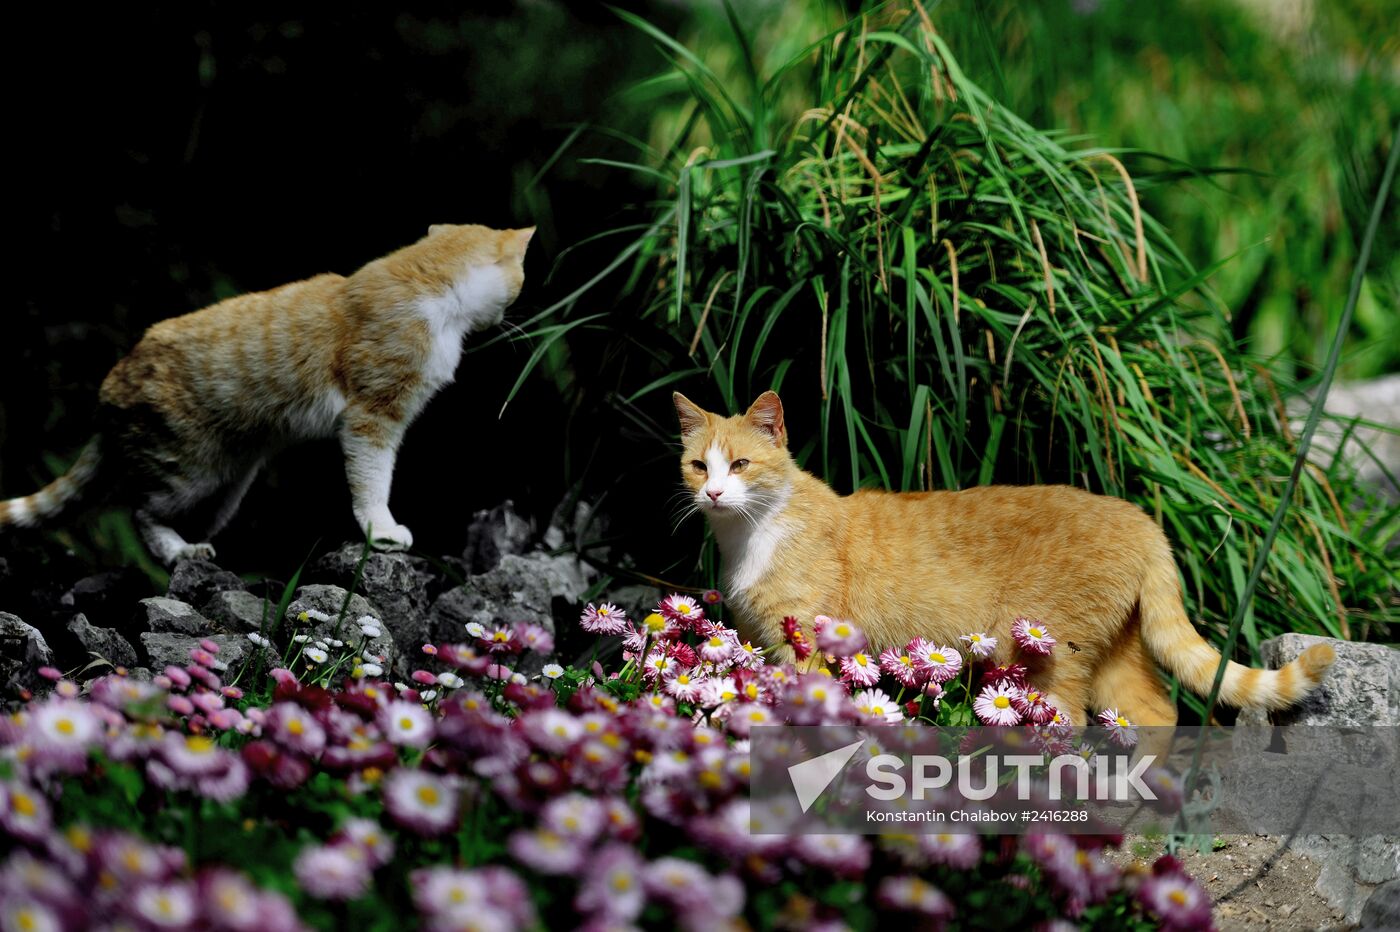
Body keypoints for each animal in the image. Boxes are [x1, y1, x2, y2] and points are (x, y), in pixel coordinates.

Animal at [0, 221, 532, 562]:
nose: (505, 318)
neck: (429, 283)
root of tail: (108, 391)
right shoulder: (371, 419)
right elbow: (372, 481)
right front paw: (381, 531)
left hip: (229, 486)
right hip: (189, 472)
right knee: (141, 512)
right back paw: (180, 552)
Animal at [674, 389, 1332, 722]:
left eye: (740, 465)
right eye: (698, 465)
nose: (713, 492)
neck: (750, 534)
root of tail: (1145, 522)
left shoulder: (805, 647)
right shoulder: (758, 642)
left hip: (1048, 656)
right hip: (1111, 656)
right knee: (1154, 717)